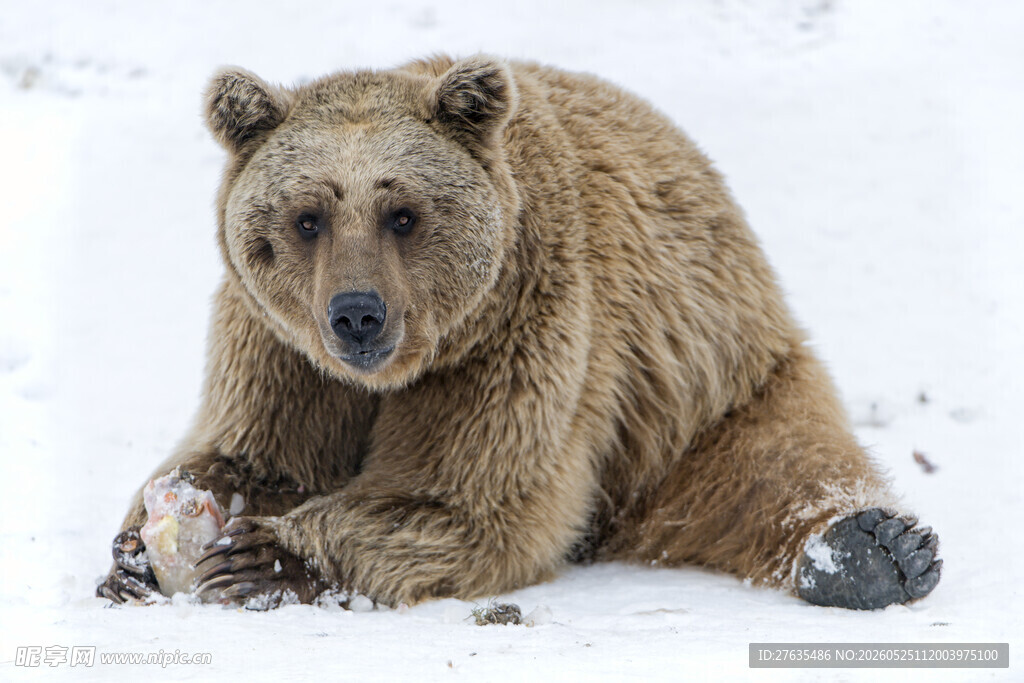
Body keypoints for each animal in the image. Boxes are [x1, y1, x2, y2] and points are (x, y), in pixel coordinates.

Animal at [97, 55, 941, 611]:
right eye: (308, 217)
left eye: (402, 212)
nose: (358, 312)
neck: (399, 370)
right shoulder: (282, 348)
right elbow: (250, 448)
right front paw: (137, 550)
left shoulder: (519, 331)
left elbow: (467, 498)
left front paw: (265, 553)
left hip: (699, 387)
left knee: (773, 462)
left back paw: (875, 548)